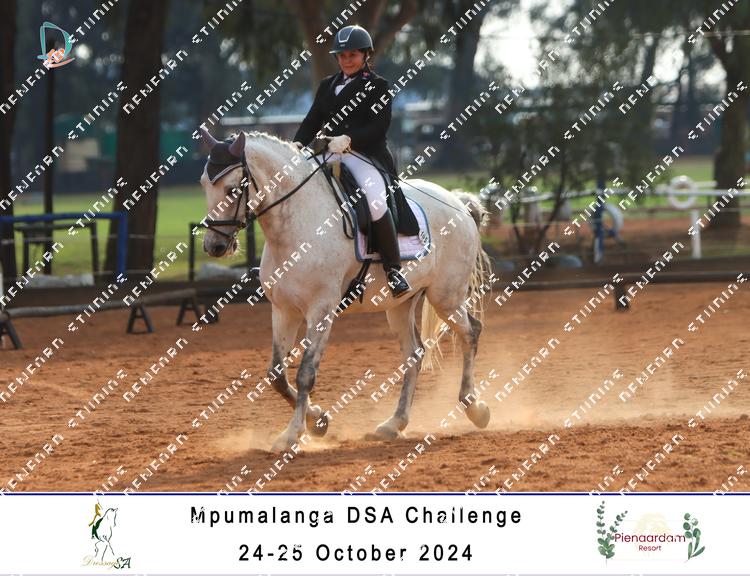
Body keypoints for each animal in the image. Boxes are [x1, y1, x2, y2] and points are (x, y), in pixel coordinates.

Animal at [198, 129, 493, 452]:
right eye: (204, 185)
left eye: (232, 189)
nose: (214, 246)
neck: (296, 222)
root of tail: (458, 201)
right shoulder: (284, 310)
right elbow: (276, 374)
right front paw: (318, 421)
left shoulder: (321, 310)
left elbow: (305, 373)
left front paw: (293, 434)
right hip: (400, 304)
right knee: (415, 354)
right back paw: (394, 424)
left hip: (445, 296)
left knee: (471, 332)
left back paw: (475, 408)